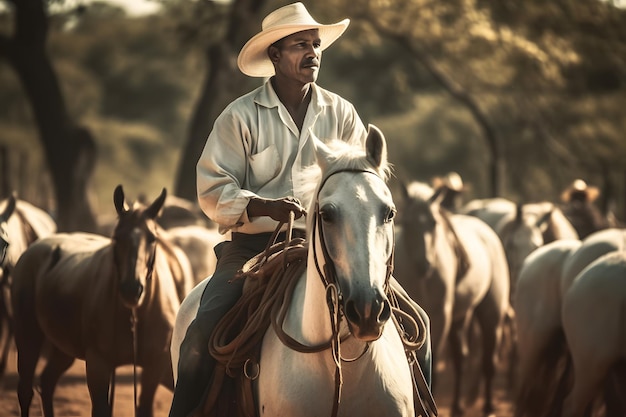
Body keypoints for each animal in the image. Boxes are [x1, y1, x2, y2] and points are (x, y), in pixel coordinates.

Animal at [11, 186, 193, 416]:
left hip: (63, 349)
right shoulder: (98, 364)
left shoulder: (155, 366)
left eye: (152, 238)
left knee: (47, 382)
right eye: (116, 237)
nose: (131, 289)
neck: (136, 316)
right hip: (28, 335)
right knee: (26, 390)